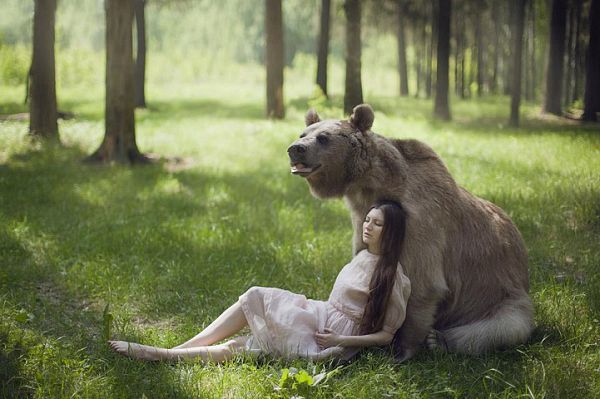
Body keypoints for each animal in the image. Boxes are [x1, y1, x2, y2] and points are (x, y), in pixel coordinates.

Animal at [288, 104, 536, 360]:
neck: (371, 188)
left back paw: (439, 340)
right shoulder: (360, 221)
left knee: (503, 327)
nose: (295, 149)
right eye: (303, 133)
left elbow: (423, 285)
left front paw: (403, 349)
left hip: (500, 292)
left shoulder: (420, 223)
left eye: (323, 137)